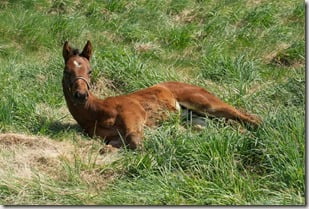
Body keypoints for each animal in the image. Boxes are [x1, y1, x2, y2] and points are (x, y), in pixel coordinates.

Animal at [62, 41, 260, 152]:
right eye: (67, 71)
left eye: (90, 71)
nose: (81, 95)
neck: (97, 111)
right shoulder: (110, 137)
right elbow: (109, 147)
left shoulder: (134, 114)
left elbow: (135, 141)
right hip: (197, 118)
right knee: (226, 124)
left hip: (205, 103)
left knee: (245, 116)